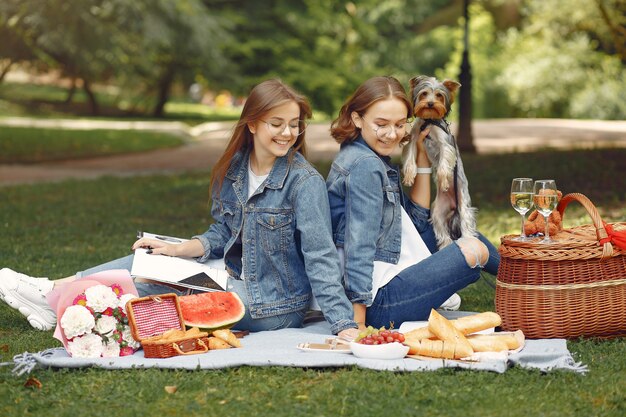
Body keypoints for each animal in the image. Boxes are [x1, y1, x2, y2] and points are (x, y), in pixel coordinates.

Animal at [400, 75, 472, 247]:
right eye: (424, 94)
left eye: (439, 95)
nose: (430, 103)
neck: (430, 120)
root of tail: (453, 206)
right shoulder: (414, 139)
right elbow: (410, 157)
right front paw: (409, 176)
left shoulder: (445, 144)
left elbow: (443, 166)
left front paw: (444, 181)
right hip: (437, 211)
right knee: (441, 229)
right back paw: (446, 245)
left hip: (463, 204)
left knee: (466, 222)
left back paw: (468, 239)